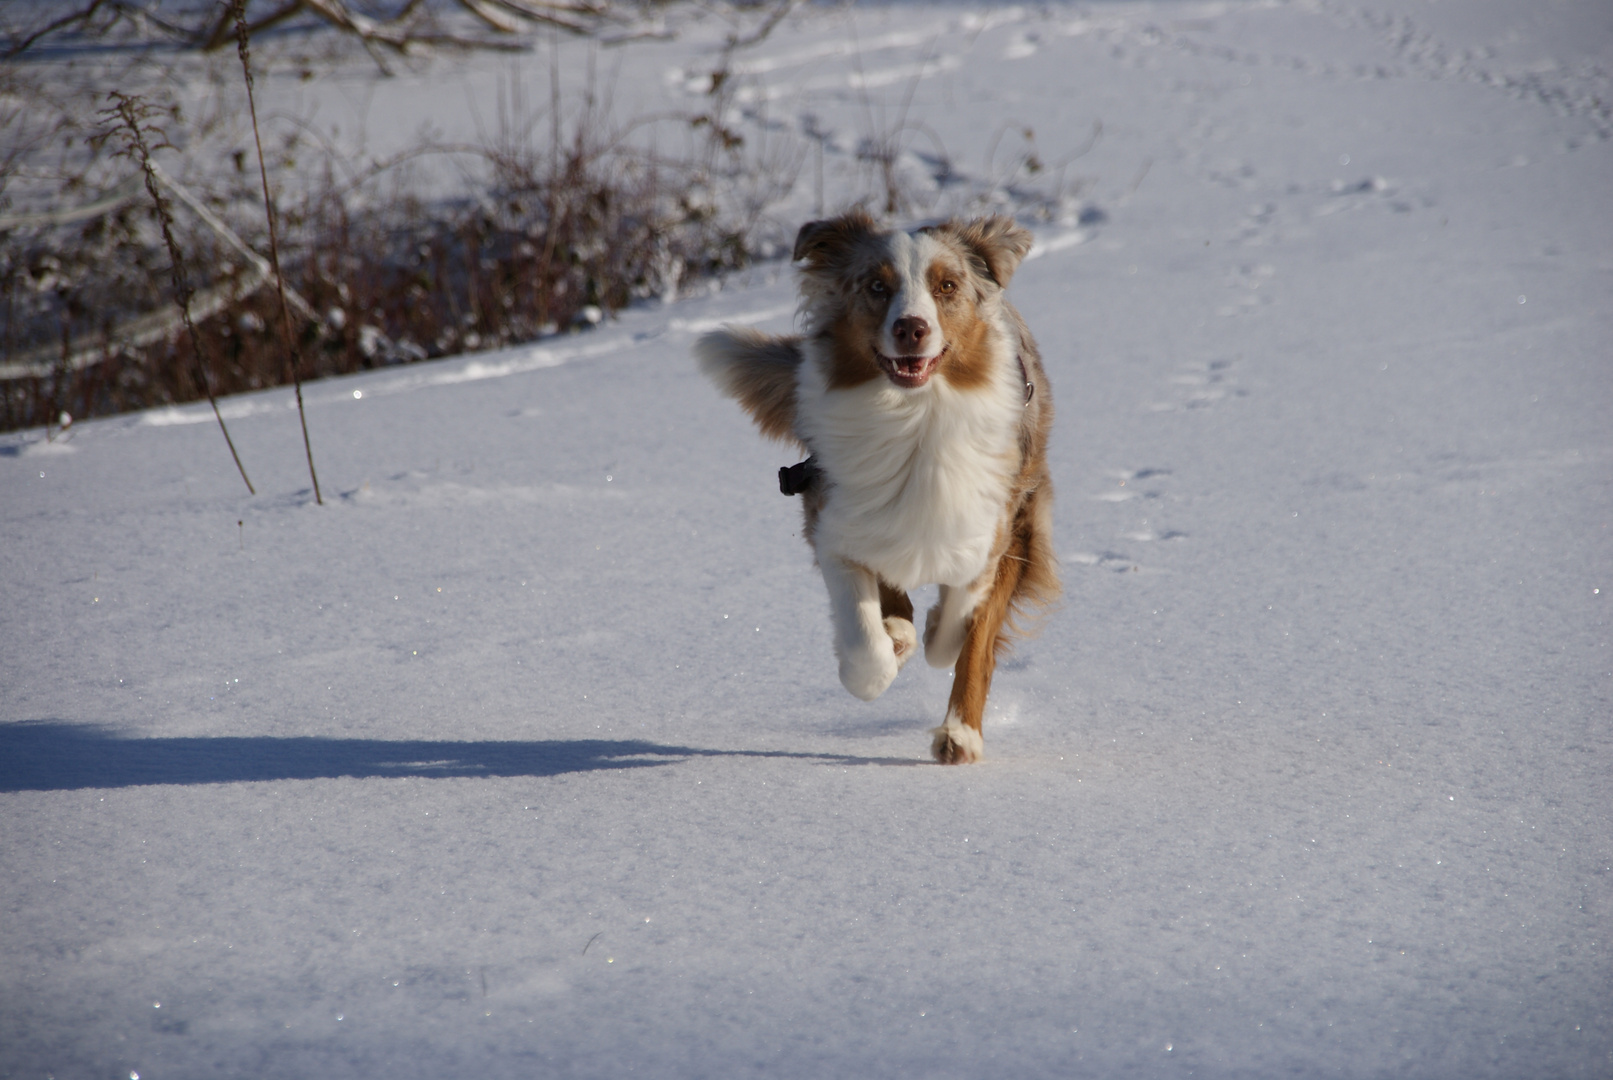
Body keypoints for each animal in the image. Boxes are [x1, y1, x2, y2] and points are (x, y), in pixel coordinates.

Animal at [696, 211, 1058, 767]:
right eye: (876, 286)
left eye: (947, 286)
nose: (911, 328)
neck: (914, 417)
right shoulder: (835, 526)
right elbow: (866, 644)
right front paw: (881, 655)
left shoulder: (999, 529)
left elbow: (963, 635)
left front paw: (960, 733)